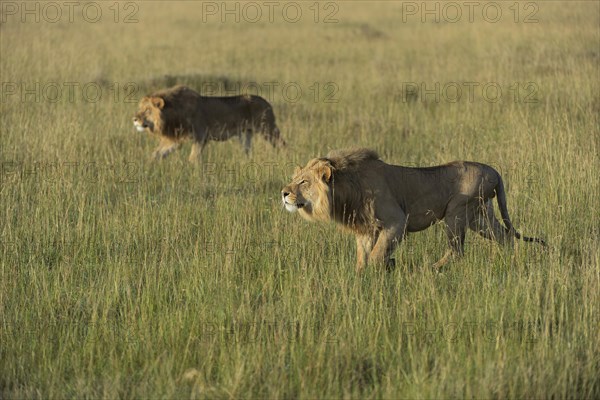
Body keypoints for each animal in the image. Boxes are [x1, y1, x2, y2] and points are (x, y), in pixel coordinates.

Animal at [132, 85, 286, 162]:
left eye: (147, 110)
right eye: (140, 109)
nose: (134, 119)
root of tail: (267, 103)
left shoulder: (201, 136)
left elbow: (193, 157)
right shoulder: (175, 139)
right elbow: (156, 154)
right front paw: (148, 168)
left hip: (267, 129)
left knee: (282, 144)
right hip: (246, 134)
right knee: (248, 150)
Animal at [280, 148, 544, 272]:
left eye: (303, 182)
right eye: (295, 179)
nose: (284, 193)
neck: (348, 187)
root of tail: (494, 171)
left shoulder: (397, 221)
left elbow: (377, 255)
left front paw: (384, 268)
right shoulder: (366, 229)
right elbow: (362, 257)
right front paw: (361, 276)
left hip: (456, 213)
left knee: (457, 250)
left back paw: (433, 269)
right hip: (480, 217)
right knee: (505, 237)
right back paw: (511, 261)